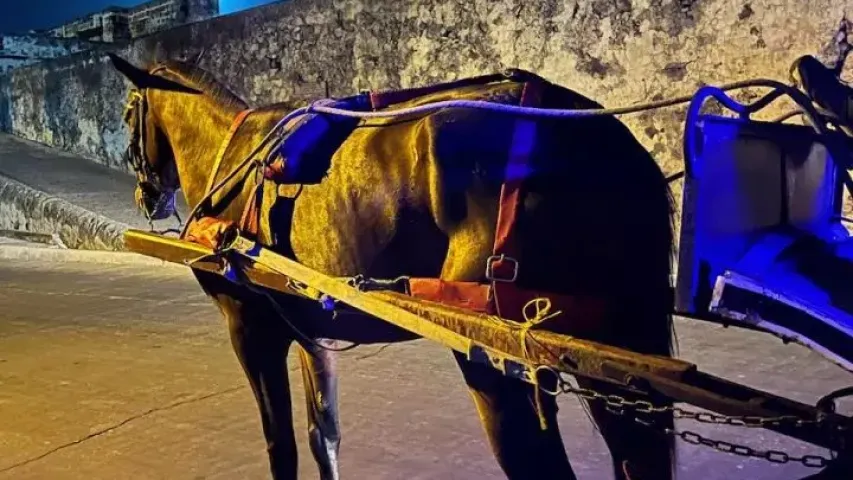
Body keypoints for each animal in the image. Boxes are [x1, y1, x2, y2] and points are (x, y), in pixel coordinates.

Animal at [107, 52, 677, 480]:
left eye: (127, 115)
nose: (146, 197)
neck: (229, 154)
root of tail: (597, 136)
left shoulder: (249, 326)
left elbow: (280, 445)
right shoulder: (312, 327)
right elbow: (323, 436)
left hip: (493, 356)